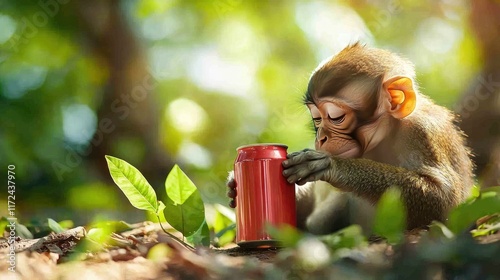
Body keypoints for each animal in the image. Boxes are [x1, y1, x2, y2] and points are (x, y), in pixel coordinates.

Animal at [227, 43, 472, 235]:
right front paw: (233, 186)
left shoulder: (422, 132)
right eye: (317, 119)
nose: (322, 138)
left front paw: (334, 166)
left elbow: (442, 200)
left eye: (336, 117)